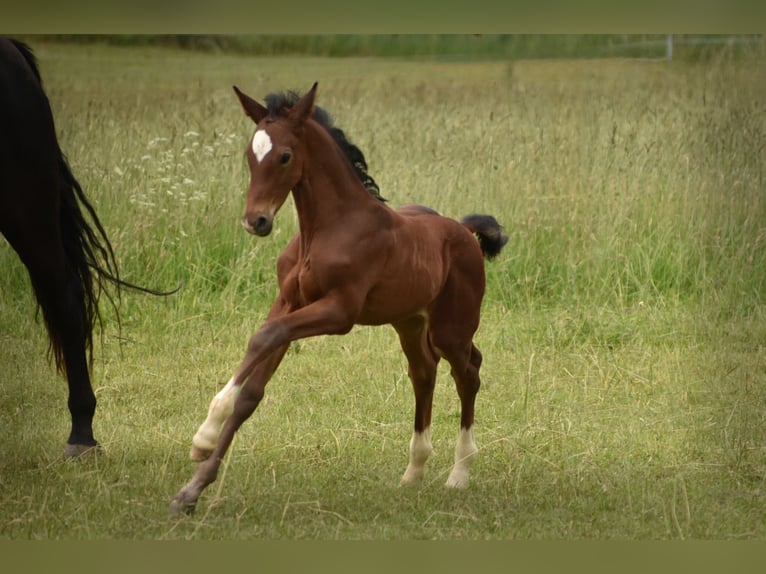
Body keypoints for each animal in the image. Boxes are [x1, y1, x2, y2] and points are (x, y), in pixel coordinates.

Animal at [171, 83, 508, 516]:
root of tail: (465, 231)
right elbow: (253, 389)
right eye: (250, 154)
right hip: (409, 322)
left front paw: (203, 436)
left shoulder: (339, 312)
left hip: (451, 326)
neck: (326, 229)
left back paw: (459, 473)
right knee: (423, 372)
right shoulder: (289, 302)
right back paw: (414, 470)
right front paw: (192, 489)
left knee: (468, 372)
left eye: (285, 156)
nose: (256, 221)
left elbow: (264, 336)